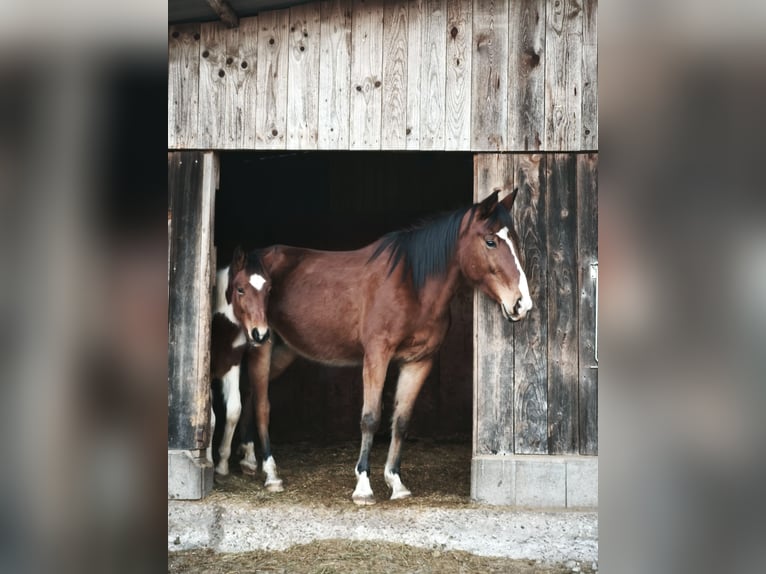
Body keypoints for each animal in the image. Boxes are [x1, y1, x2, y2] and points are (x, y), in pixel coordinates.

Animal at [207, 246, 279, 489]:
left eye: (269, 289)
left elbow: (233, 410)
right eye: (240, 289)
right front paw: (208, 461)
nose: (261, 334)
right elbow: (210, 418)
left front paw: (221, 466)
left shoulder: (232, 365)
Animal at [248, 189, 532, 504]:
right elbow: (371, 418)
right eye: (491, 241)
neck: (413, 286)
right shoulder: (377, 356)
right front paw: (363, 486)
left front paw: (396, 482)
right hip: (260, 343)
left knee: (251, 394)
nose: (522, 304)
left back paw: (248, 460)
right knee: (261, 403)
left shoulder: (419, 361)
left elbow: (402, 420)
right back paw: (270, 474)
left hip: (284, 350)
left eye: (514, 240)